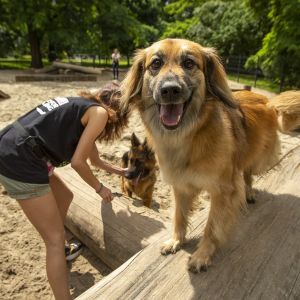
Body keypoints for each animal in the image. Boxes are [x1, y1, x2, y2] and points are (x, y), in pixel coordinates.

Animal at [120, 38, 284, 274]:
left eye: (189, 63)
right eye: (156, 64)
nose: (170, 90)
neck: (187, 137)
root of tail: (262, 96)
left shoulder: (223, 191)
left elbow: (212, 227)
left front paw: (202, 255)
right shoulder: (180, 186)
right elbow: (179, 217)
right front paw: (176, 241)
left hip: (257, 154)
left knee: (248, 173)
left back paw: (249, 192)